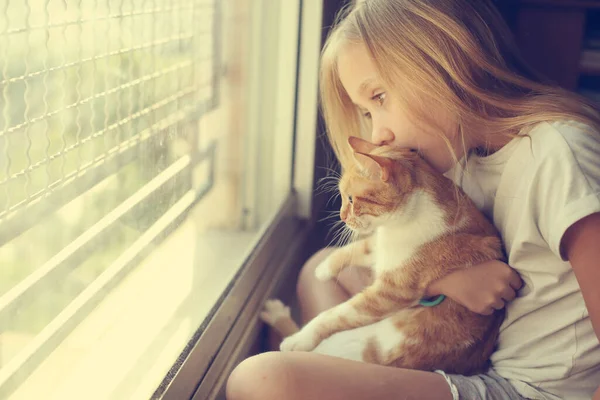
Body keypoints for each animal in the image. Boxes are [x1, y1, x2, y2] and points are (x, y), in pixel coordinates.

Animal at [264, 137, 506, 376]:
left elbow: (334, 315)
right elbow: (358, 248)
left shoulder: (389, 292)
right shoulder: (380, 247)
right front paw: (325, 268)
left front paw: (300, 338)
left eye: (351, 199)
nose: (342, 217)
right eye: (343, 197)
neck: (397, 226)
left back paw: (280, 322)